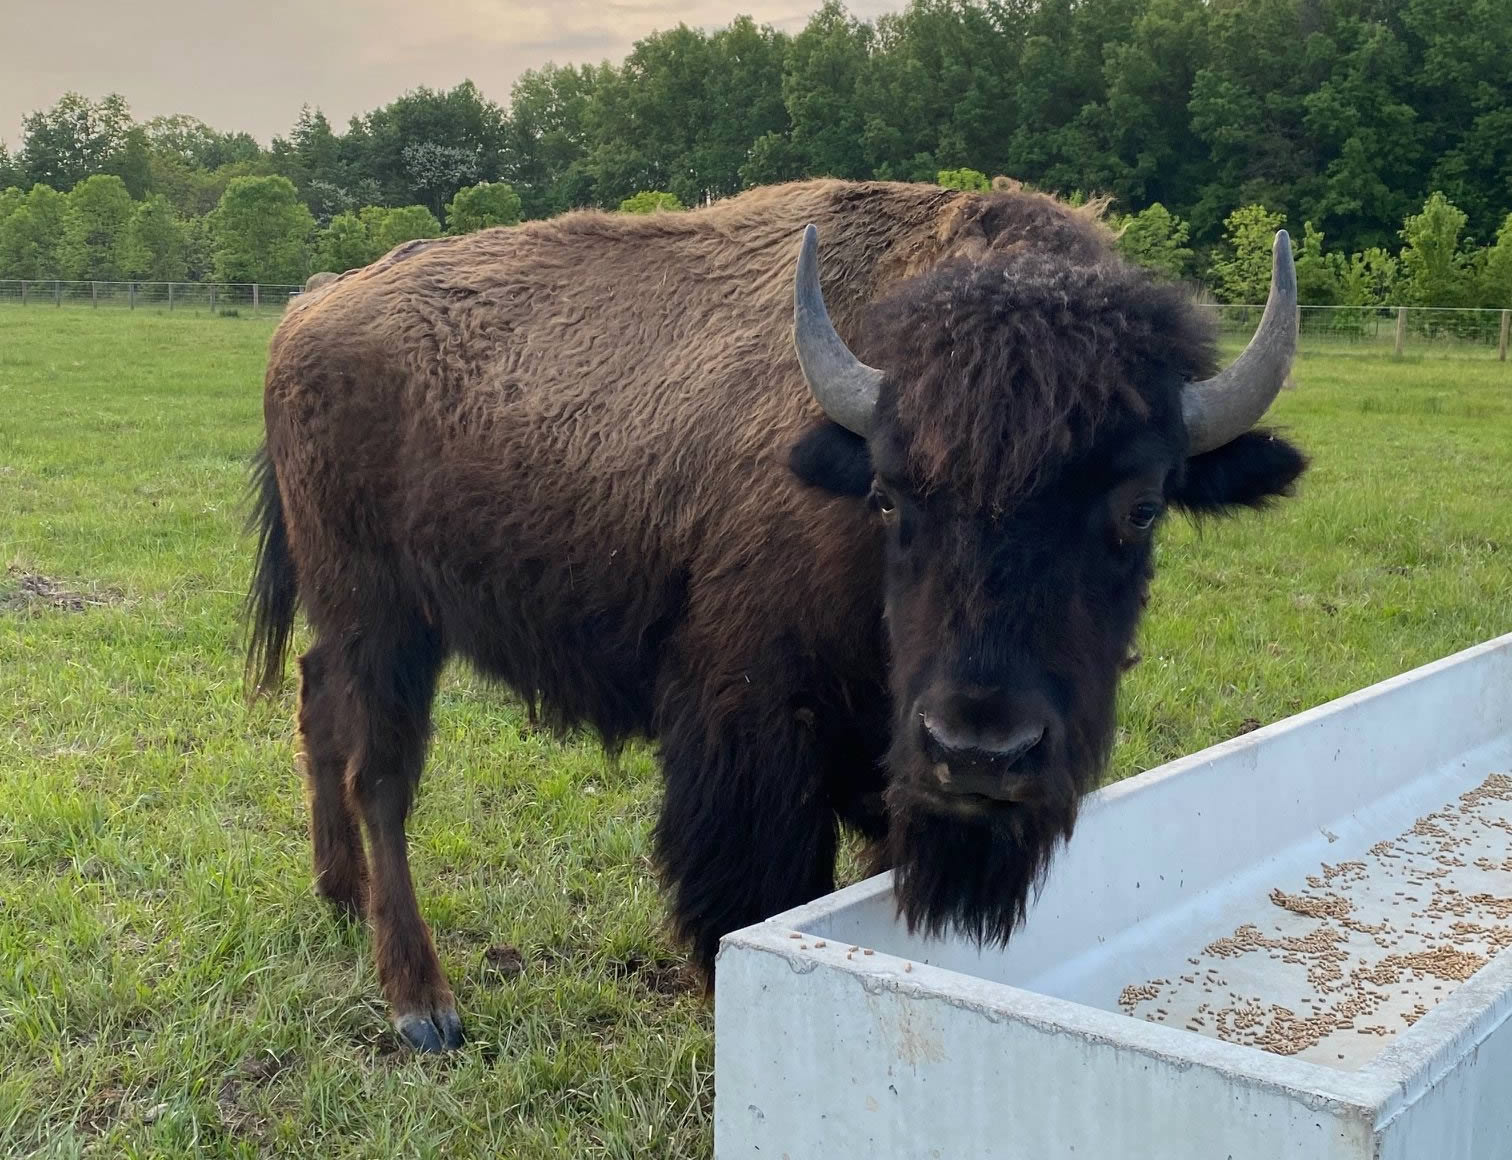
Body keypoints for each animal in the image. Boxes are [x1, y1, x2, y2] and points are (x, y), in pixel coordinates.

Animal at [245, 179, 1306, 1051]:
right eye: (890, 496)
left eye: (1141, 507)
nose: (980, 752)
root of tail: (313, 306)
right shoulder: (753, 736)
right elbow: (754, 896)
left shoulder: (885, 771)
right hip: (383, 615)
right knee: (382, 777)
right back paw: (423, 1005)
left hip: (365, 621)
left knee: (317, 706)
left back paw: (339, 896)